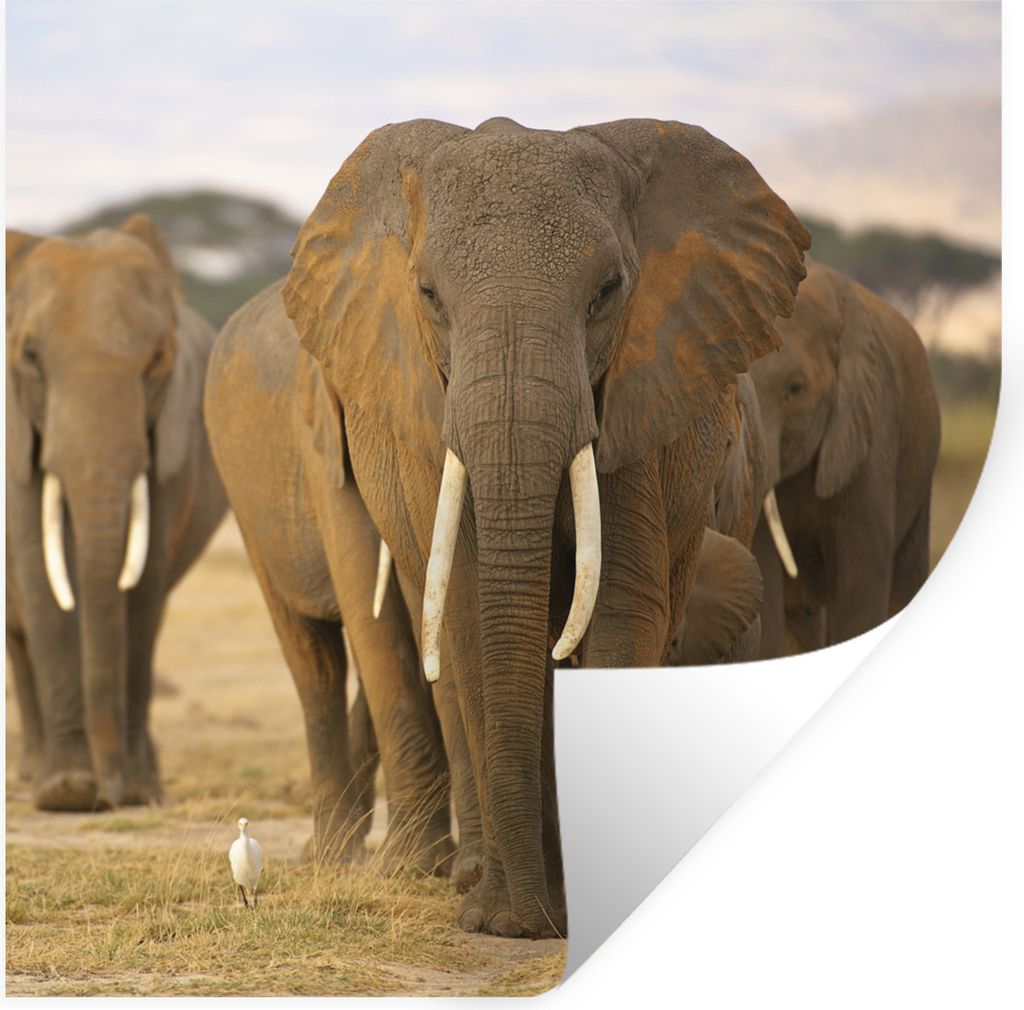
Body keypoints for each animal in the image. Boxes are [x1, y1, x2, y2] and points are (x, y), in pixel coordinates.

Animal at [6, 215, 227, 811]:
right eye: (29, 358)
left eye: (156, 362)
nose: (109, 796)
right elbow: (38, 572)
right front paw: (65, 792)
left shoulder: (171, 438)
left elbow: (143, 582)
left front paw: (140, 791)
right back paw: (31, 775)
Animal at [205, 284, 482, 883]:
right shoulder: (324, 450)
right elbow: (370, 612)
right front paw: (414, 868)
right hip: (246, 507)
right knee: (316, 662)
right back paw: (331, 855)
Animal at [278, 116, 810, 936]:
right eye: (428, 295)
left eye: (607, 292)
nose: (521, 921)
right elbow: (474, 610)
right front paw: (503, 921)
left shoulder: (636, 396)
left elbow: (620, 607)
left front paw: (556, 915)